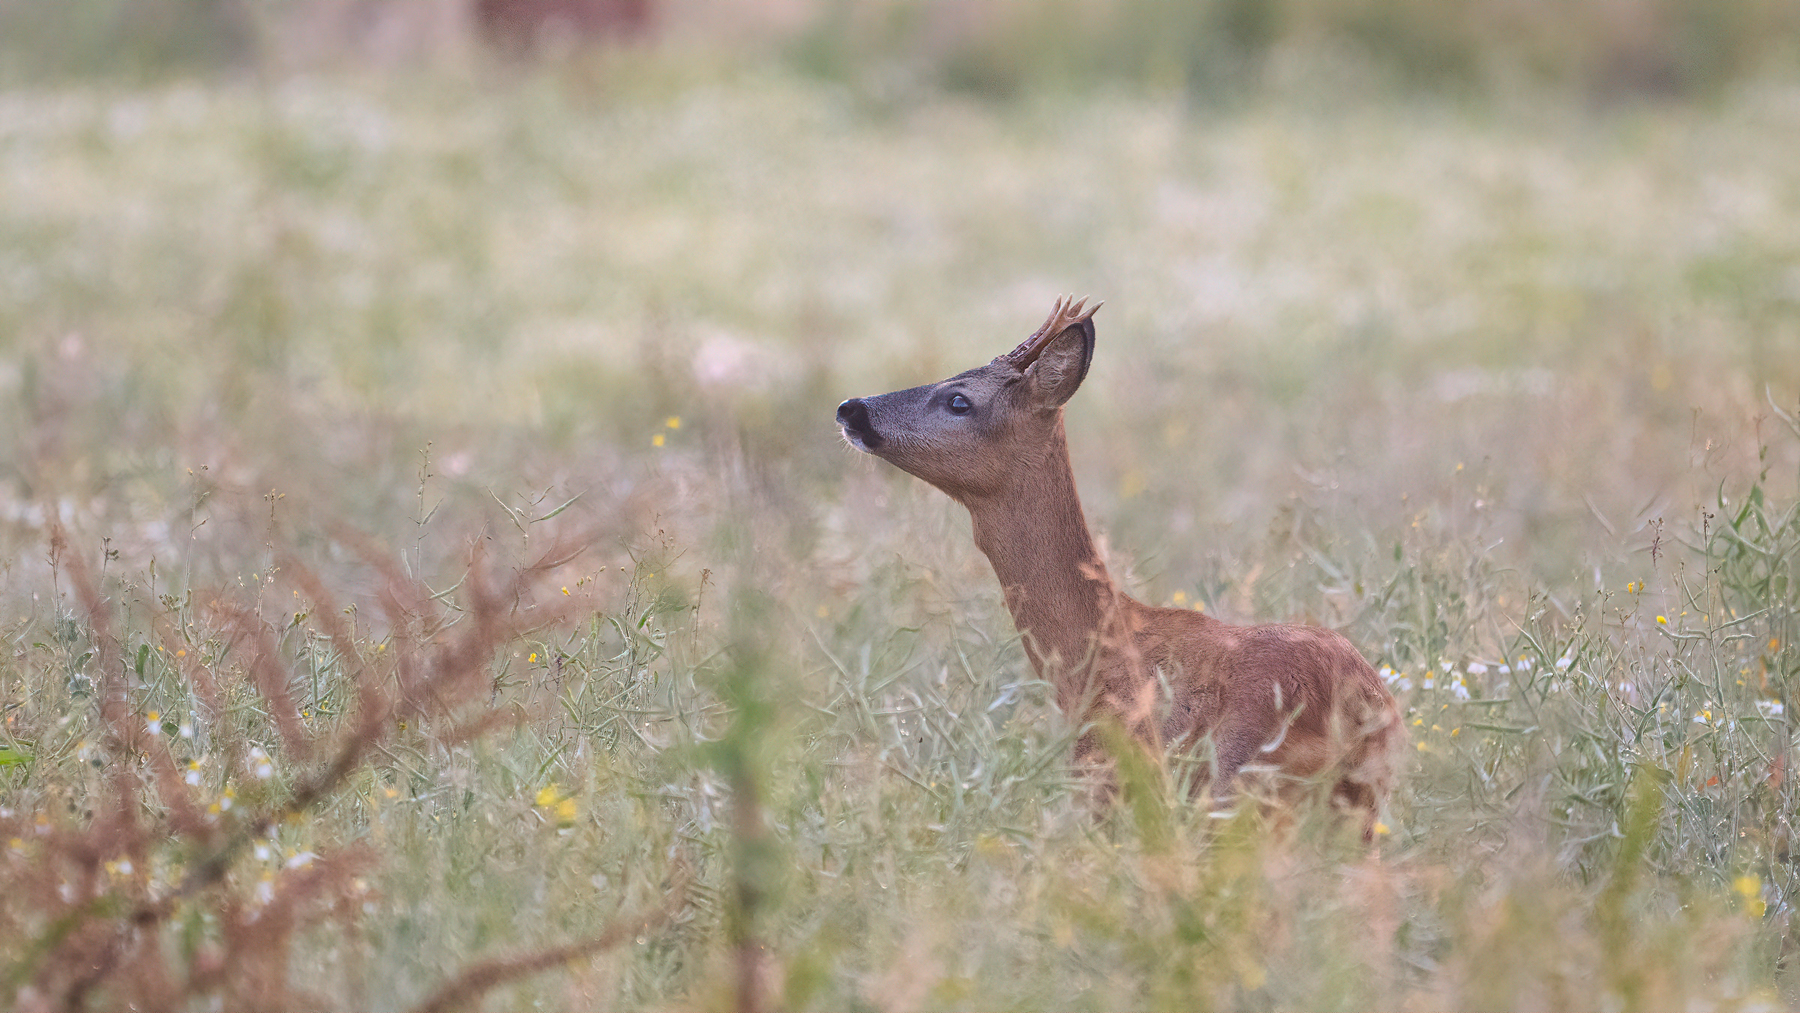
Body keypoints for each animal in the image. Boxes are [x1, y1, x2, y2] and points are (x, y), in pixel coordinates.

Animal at [835, 296, 1396, 834]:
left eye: (959, 399)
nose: (849, 407)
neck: (1089, 665)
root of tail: (1359, 705)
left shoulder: (1109, 784)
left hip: (1244, 788)